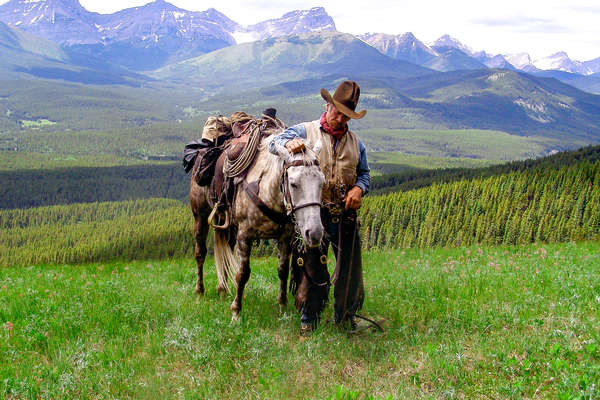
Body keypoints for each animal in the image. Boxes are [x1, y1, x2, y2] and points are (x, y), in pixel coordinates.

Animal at [191, 122, 324, 322]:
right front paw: (236, 312)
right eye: (294, 184)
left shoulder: (285, 238)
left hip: (228, 226)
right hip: (200, 215)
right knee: (200, 253)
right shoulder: (245, 236)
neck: (267, 189)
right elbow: (242, 273)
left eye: (322, 183)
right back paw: (200, 292)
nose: (314, 233)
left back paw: (222, 290)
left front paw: (282, 306)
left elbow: (283, 270)